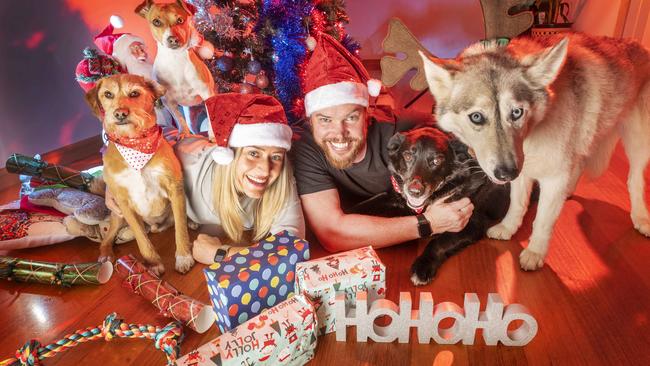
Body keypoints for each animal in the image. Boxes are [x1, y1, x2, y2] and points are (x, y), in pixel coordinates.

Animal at [85, 73, 194, 274]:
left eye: (134, 93)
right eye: (108, 94)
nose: (120, 114)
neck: (135, 146)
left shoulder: (175, 188)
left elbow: (180, 229)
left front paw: (184, 257)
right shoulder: (124, 204)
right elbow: (141, 238)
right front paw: (153, 263)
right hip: (117, 215)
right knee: (107, 238)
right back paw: (105, 255)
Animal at [134, 0, 215, 139]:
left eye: (180, 20)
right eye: (156, 22)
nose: (172, 39)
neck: (175, 59)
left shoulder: (206, 93)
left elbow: (211, 117)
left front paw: (213, 136)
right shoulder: (168, 102)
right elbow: (179, 119)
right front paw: (183, 133)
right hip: (191, 118)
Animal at [350, 127, 506, 284]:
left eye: (437, 161)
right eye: (407, 156)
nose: (414, 192)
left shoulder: (471, 224)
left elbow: (439, 242)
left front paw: (423, 266)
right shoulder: (394, 197)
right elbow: (369, 202)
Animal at [420, 33, 648, 270]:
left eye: (517, 112)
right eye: (476, 117)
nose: (506, 174)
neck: (530, 136)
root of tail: (637, 45)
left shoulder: (553, 177)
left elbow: (543, 220)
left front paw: (536, 252)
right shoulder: (522, 170)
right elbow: (517, 204)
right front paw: (508, 228)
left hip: (637, 141)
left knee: (634, 180)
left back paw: (640, 217)